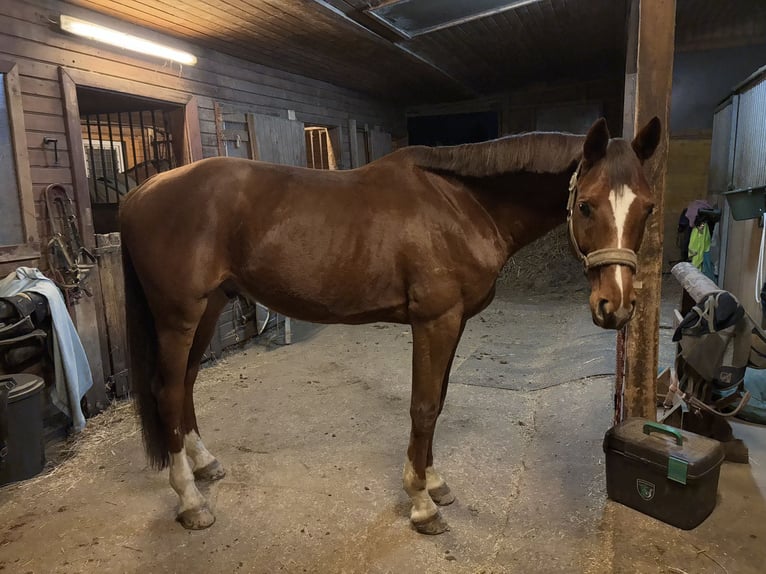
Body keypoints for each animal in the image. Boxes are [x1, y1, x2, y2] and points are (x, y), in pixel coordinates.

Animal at [119, 116, 661, 533]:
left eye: (647, 207)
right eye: (586, 204)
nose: (615, 306)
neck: (462, 203)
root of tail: (142, 192)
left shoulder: (453, 321)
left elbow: (438, 400)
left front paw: (433, 483)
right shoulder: (434, 320)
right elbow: (423, 407)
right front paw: (421, 505)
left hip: (210, 308)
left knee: (186, 382)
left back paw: (204, 464)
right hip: (179, 316)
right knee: (167, 390)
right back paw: (190, 501)